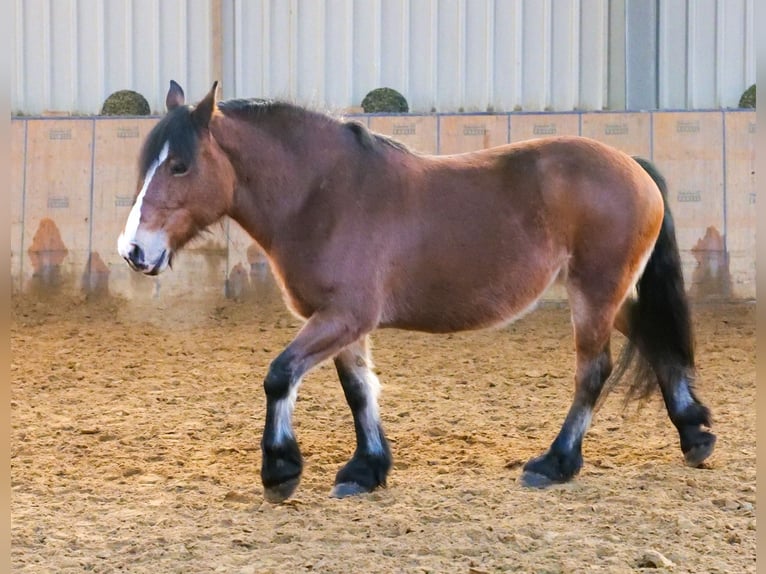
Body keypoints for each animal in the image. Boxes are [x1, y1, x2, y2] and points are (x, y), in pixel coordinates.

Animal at [117, 81, 716, 504]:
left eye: (180, 165)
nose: (134, 250)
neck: (324, 195)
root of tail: (632, 165)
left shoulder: (343, 315)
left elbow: (280, 375)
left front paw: (280, 468)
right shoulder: (341, 322)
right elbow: (359, 391)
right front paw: (366, 469)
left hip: (594, 292)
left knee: (594, 371)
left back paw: (556, 462)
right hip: (609, 295)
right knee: (655, 340)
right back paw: (695, 435)